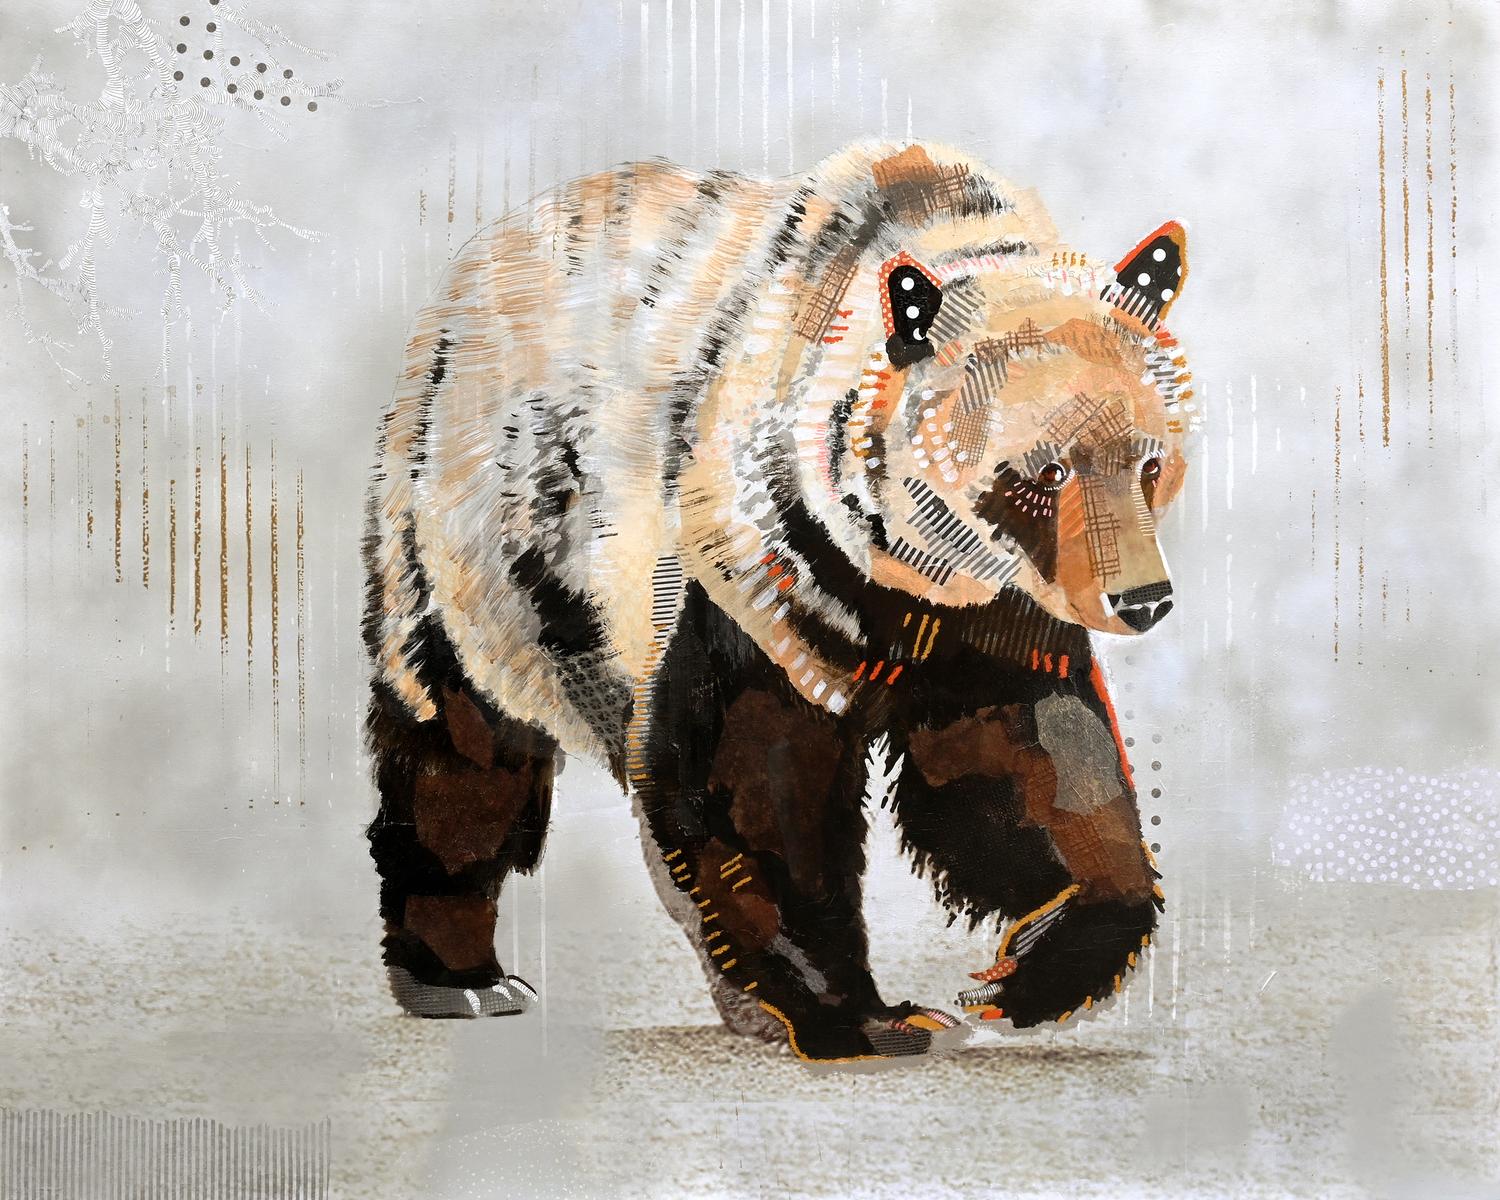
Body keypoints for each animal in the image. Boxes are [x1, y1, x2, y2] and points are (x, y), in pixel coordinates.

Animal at [362, 141, 1193, 1061]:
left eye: (1150, 463)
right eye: (1042, 474)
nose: (1141, 600)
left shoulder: (991, 612)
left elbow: (1028, 761)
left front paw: (1029, 972)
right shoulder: (766, 561)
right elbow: (754, 775)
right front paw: (870, 1016)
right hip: (492, 532)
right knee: (463, 738)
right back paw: (461, 976)